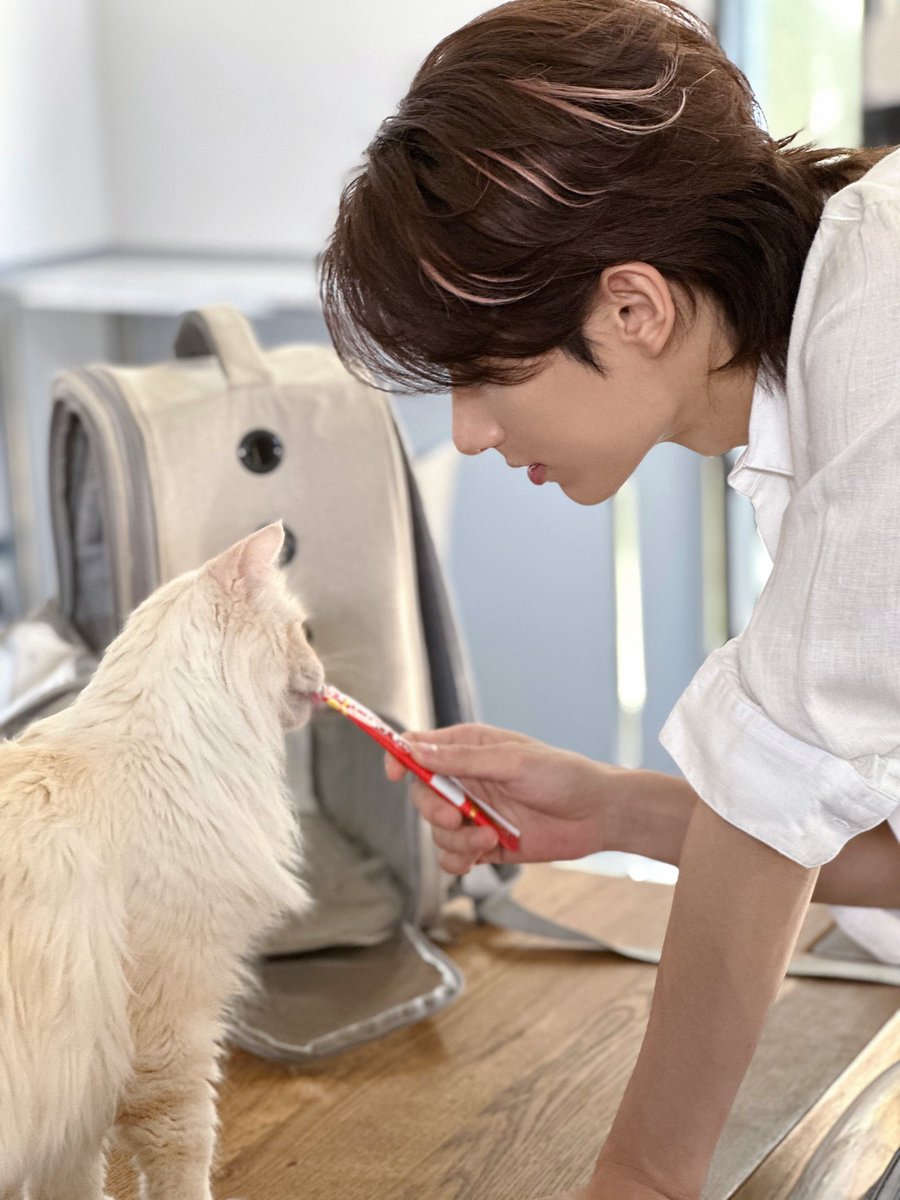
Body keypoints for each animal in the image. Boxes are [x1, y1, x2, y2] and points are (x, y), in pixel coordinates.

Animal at [0, 525, 324, 1200]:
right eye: (302, 632)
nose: (322, 673)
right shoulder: (167, 1023)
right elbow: (184, 1149)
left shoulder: (77, 1104)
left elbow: (73, 1182)